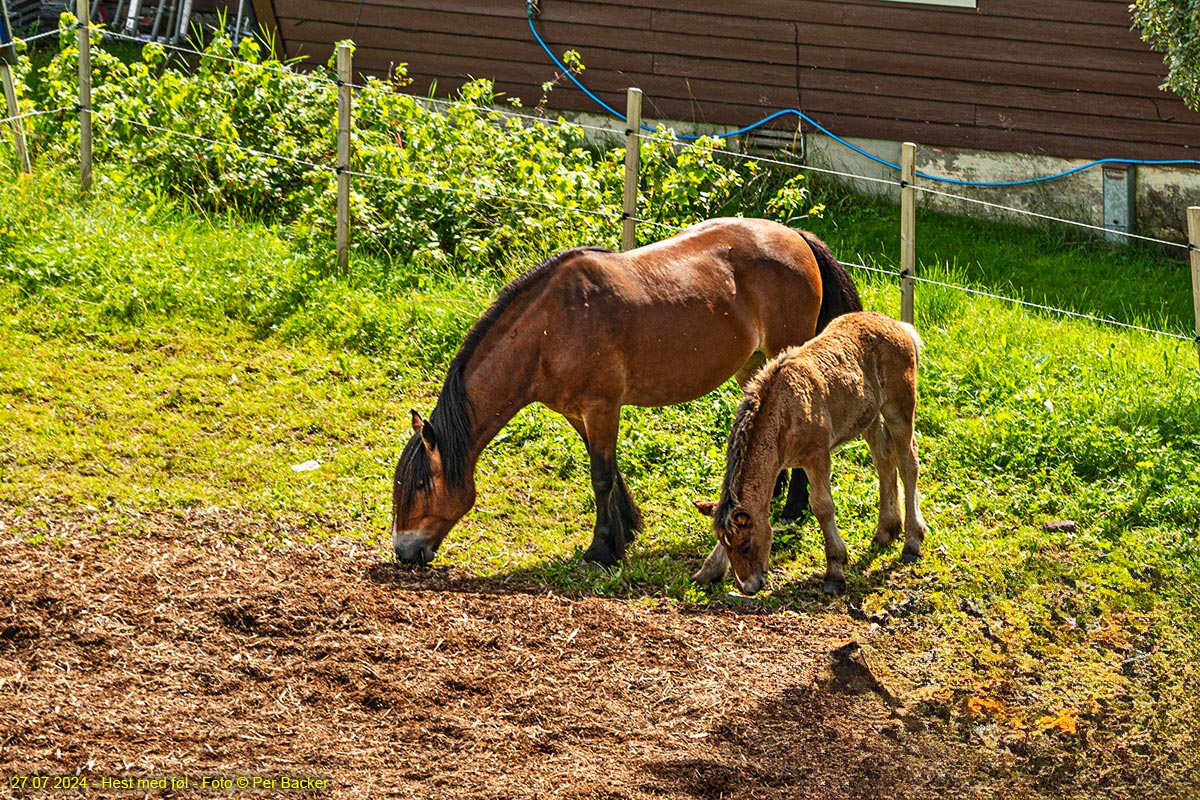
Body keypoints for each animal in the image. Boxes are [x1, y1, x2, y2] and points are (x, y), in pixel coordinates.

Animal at [696, 311, 926, 594]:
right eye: (729, 548)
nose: (749, 586)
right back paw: (886, 530)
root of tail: (897, 324)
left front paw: (835, 571)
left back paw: (912, 542)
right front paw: (711, 569)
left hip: (900, 406)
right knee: (884, 458)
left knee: (908, 463)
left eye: (746, 545)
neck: (783, 409)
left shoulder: (817, 457)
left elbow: (822, 506)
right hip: (868, 416)